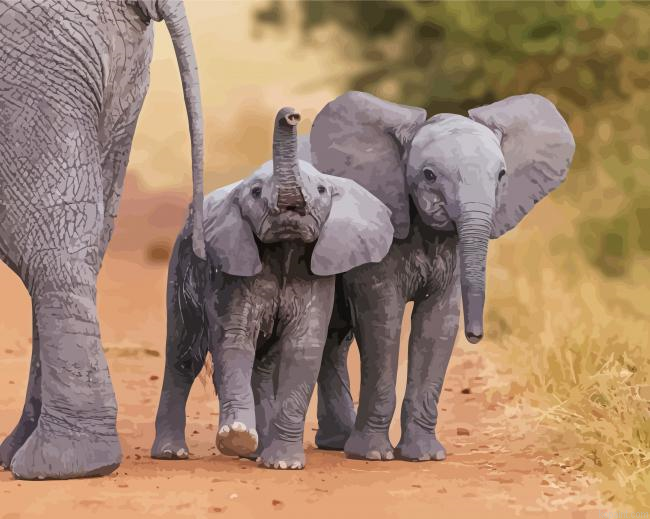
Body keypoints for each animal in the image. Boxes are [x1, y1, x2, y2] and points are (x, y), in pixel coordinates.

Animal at [151, 107, 393, 469]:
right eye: (254, 192)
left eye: (322, 190)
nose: (291, 115)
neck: (285, 248)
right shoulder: (233, 269)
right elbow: (235, 339)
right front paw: (236, 436)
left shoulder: (315, 275)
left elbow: (302, 348)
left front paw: (282, 464)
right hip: (182, 264)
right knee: (184, 354)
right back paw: (172, 453)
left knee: (263, 365)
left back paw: (258, 454)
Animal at [309, 91, 575, 461]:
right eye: (429, 175)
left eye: (501, 175)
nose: (476, 336)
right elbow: (382, 319)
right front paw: (373, 455)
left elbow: (437, 324)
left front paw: (423, 456)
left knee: (336, 338)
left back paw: (336, 443)